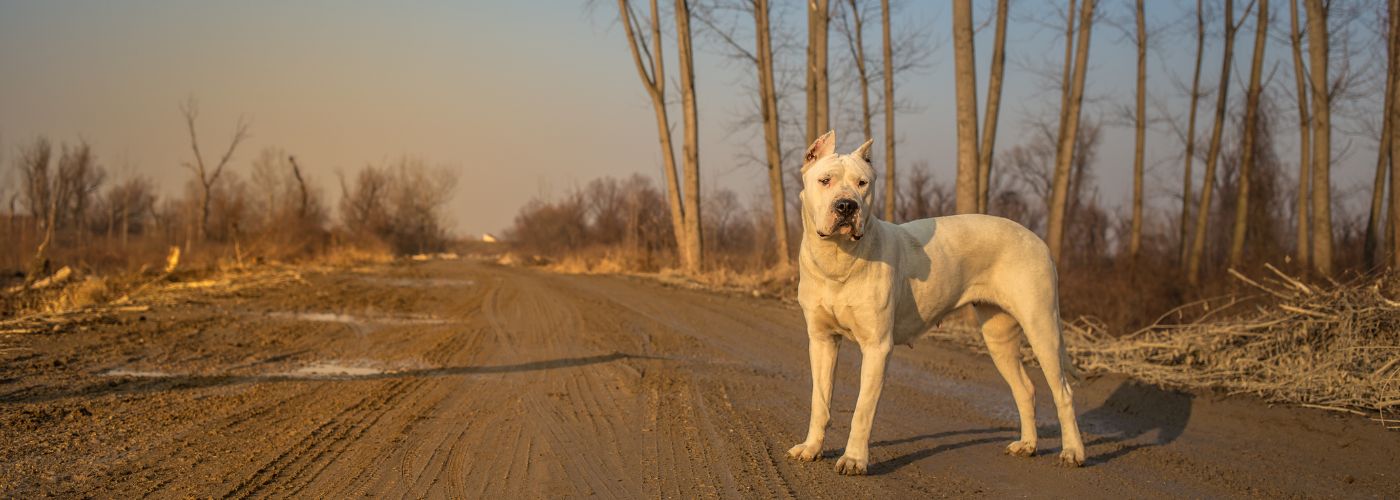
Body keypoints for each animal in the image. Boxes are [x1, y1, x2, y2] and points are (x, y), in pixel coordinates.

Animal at [789, 130, 1080, 473]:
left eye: (862, 183)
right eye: (825, 180)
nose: (847, 205)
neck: (838, 258)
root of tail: (1038, 240)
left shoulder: (877, 347)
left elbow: (862, 410)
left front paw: (854, 459)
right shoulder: (822, 340)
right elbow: (819, 401)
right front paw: (812, 448)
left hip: (1041, 327)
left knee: (1063, 392)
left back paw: (1073, 451)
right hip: (999, 338)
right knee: (1025, 389)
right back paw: (1028, 445)